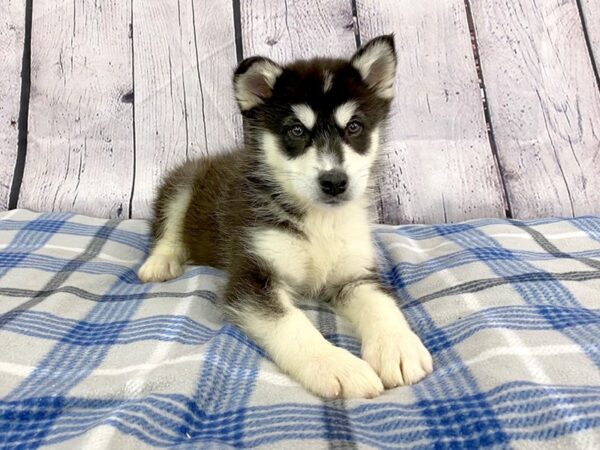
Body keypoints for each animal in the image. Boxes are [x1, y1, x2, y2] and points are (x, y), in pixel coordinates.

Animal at [139, 36, 434, 400]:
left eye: (354, 127)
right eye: (296, 130)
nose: (334, 182)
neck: (320, 221)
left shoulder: (354, 274)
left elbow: (381, 304)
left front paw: (398, 347)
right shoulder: (252, 277)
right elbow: (292, 324)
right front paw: (336, 365)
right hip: (183, 182)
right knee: (167, 228)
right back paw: (161, 262)